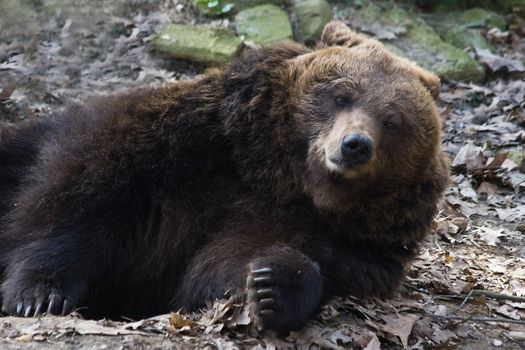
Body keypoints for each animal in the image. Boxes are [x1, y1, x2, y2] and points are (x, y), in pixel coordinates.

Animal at [1, 21, 446, 330]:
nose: (355, 145)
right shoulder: (180, 149)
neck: (282, 178)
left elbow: (227, 266)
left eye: (393, 121)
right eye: (341, 95)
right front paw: (39, 294)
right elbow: (85, 209)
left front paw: (272, 286)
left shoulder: (345, 242)